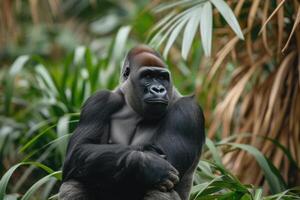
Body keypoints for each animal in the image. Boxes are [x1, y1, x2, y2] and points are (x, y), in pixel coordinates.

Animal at [58, 45, 205, 200]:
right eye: (147, 76)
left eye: (162, 77)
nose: (158, 89)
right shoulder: (99, 101)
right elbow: (79, 150)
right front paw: (147, 164)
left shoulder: (188, 109)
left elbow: (169, 159)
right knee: (74, 181)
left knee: (160, 191)